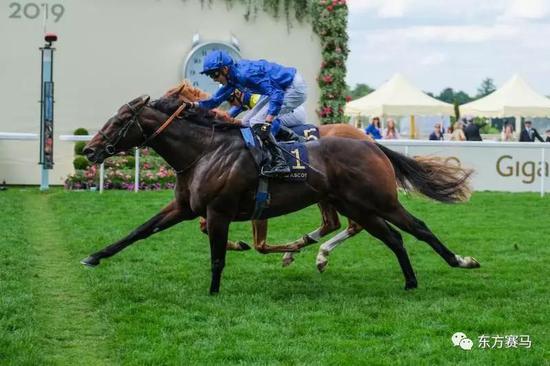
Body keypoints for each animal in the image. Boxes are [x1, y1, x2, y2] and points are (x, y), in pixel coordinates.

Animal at [80, 95, 480, 294]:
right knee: (393, 238)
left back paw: (461, 261)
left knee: (418, 228)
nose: (89, 149)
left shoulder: (219, 211)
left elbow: (217, 257)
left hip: (381, 201)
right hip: (359, 206)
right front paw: (93, 257)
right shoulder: (183, 206)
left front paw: (213, 292)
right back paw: (408, 281)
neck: (205, 151)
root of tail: (373, 145)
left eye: (120, 121)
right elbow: (138, 231)